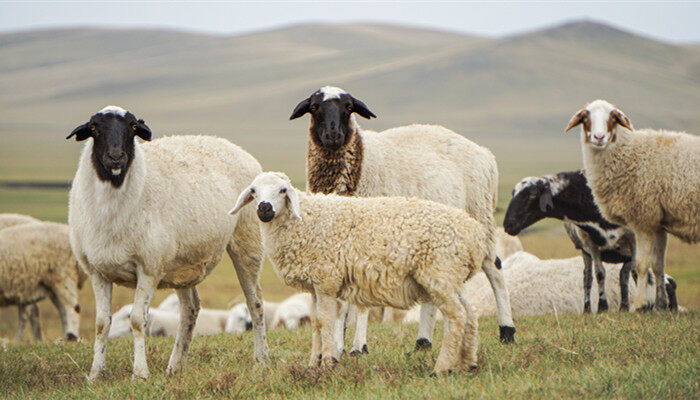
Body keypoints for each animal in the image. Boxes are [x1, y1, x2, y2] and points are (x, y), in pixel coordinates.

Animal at [67, 104, 268, 380]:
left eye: (132, 127)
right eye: (95, 128)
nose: (116, 158)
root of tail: (239, 150)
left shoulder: (148, 268)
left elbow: (137, 321)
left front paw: (140, 373)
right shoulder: (97, 271)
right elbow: (101, 324)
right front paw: (96, 373)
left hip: (247, 240)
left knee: (255, 303)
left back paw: (261, 361)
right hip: (183, 262)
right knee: (191, 309)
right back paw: (175, 366)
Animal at [227, 172, 490, 376]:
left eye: (283, 190)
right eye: (253, 191)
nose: (264, 208)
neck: (304, 222)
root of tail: (475, 235)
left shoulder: (326, 279)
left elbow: (326, 320)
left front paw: (328, 363)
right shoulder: (314, 285)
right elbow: (315, 323)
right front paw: (313, 364)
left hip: (440, 274)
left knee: (456, 316)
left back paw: (442, 368)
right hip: (453, 277)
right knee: (470, 314)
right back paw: (467, 363)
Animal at [504, 170, 680, 314]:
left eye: (532, 195)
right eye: (512, 193)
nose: (508, 225)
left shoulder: (634, 238)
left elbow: (637, 273)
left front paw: (644, 306)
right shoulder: (590, 243)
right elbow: (599, 274)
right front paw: (602, 307)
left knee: (631, 274)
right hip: (587, 251)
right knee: (591, 277)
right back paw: (594, 309)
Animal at [568, 98, 696, 310]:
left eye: (613, 117)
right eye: (586, 117)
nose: (599, 137)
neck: (629, 153)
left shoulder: (643, 219)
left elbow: (642, 265)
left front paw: (639, 306)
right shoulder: (657, 222)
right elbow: (659, 266)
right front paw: (660, 306)